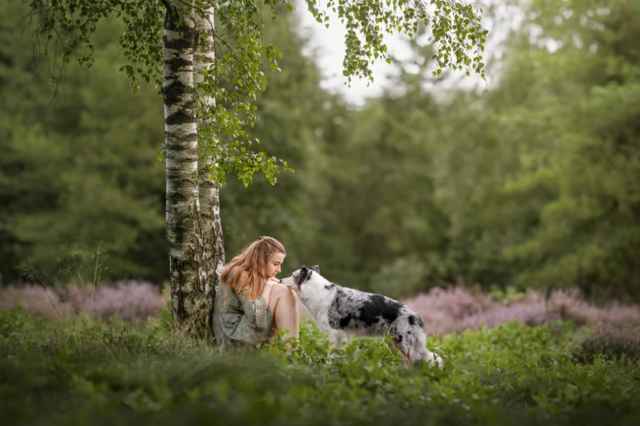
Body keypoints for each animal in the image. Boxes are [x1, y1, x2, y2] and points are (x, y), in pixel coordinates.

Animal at [282, 264, 442, 368]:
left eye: (292, 275)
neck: (317, 292)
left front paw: (328, 366)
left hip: (403, 342)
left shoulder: (335, 334)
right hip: (393, 342)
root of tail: (415, 315)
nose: (280, 280)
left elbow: (332, 354)